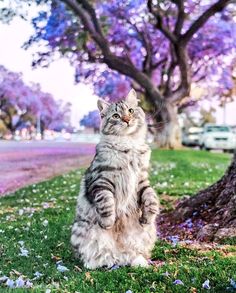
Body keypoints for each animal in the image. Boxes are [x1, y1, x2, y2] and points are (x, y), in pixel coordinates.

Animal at [71, 88, 159, 266]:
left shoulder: (141, 180)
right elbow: (106, 203)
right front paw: (108, 223)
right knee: (93, 256)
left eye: (130, 111)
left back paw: (139, 261)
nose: (126, 120)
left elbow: (151, 197)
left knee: (133, 254)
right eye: (116, 116)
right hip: (80, 231)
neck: (129, 144)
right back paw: (93, 264)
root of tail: (119, 254)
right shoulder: (101, 181)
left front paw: (148, 216)